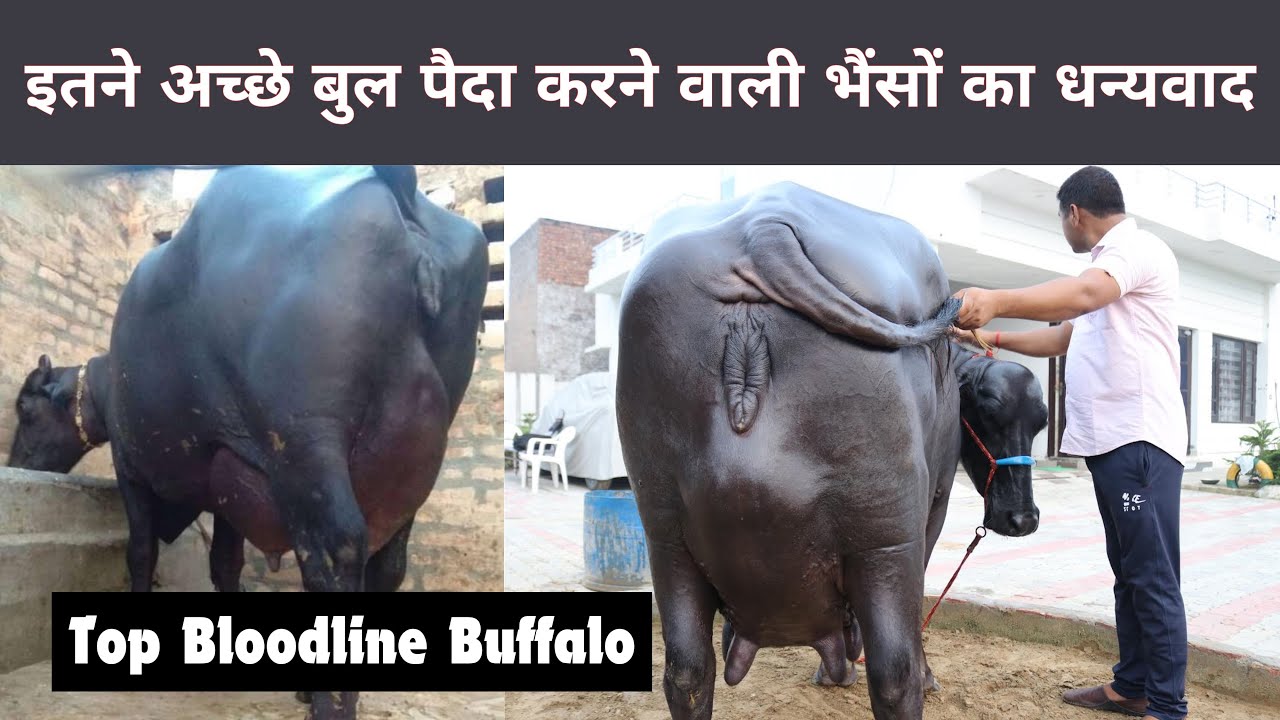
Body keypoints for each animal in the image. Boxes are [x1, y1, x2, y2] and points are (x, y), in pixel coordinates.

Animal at [7, 165, 488, 720]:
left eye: (26, 411)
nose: (18, 459)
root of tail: (399, 193)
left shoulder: (132, 470)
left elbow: (141, 551)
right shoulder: (229, 476)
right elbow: (225, 563)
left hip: (307, 446)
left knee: (337, 549)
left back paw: (330, 704)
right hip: (409, 462)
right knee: (386, 561)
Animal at [615, 182, 1045, 720]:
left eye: (1042, 422)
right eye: (988, 413)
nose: (1023, 519)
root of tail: (764, 232)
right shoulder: (935, 506)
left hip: (667, 543)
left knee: (687, 672)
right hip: (886, 539)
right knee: (895, 672)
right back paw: (910, 678)